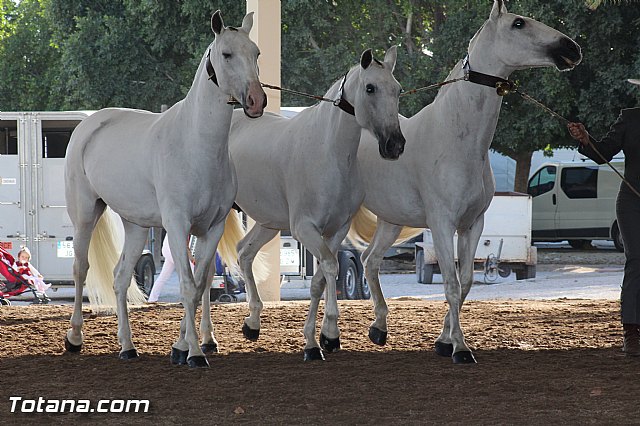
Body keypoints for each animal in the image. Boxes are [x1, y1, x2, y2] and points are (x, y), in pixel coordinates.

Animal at [63, 11, 266, 368]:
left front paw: (184, 346)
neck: (195, 145)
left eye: (255, 53)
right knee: (80, 269)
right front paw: (195, 353)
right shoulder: (177, 225)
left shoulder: (211, 228)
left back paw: (128, 346)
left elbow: (199, 285)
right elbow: (186, 285)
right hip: (85, 215)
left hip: (136, 226)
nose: (257, 101)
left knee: (120, 277)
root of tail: (89, 124)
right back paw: (74, 338)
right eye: (226, 54)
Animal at [226, 47, 404, 360]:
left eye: (398, 89)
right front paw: (330, 335)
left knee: (244, 253)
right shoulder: (305, 229)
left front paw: (314, 339)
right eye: (370, 88)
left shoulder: (335, 230)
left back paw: (252, 323)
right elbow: (331, 268)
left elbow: (320, 279)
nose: (394, 145)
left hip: (268, 223)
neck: (328, 152)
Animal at [348, 0, 584, 364]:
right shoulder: (443, 225)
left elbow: (467, 282)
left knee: (370, 261)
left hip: (391, 220)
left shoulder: (473, 224)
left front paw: (444, 342)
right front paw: (460, 349)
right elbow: (451, 283)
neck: (456, 138)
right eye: (518, 23)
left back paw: (379, 329)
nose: (571, 49)